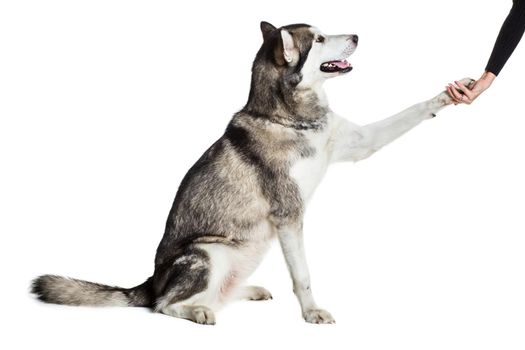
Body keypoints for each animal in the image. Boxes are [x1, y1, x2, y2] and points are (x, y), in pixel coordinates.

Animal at [32, 21, 474, 326]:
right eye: (318, 40)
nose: (357, 35)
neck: (290, 118)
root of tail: (149, 280)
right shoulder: (290, 216)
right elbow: (303, 274)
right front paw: (311, 313)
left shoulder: (361, 142)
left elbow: (411, 112)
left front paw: (453, 92)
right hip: (208, 253)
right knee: (163, 306)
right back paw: (195, 312)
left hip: (245, 251)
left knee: (216, 294)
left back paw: (244, 291)